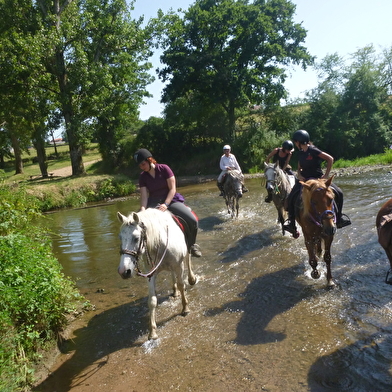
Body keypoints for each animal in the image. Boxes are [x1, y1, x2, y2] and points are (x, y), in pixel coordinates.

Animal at [116, 208, 196, 340]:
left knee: (188, 259)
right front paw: (152, 332)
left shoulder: (178, 266)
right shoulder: (151, 274)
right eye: (120, 238)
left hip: (185, 254)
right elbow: (152, 300)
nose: (124, 271)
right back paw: (175, 292)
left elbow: (181, 285)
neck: (160, 242)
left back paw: (192, 279)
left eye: (136, 238)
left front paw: (185, 308)